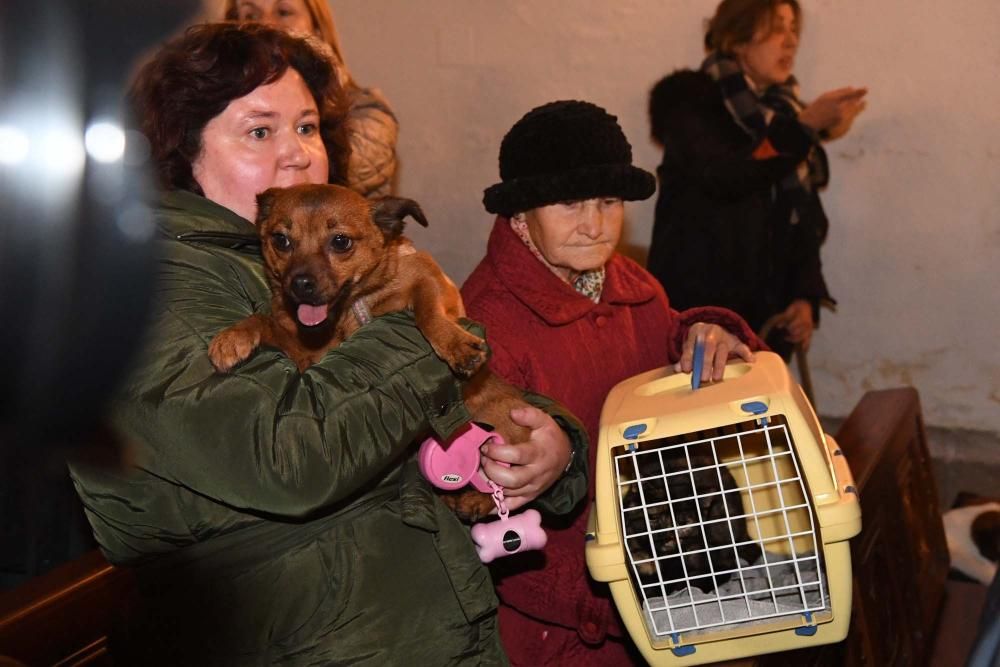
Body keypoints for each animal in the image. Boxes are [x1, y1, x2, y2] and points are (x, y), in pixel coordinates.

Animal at [211, 184, 532, 520]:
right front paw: (233, 336)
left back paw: (475, 501)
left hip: (501, 431)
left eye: (341, 241)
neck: (350, 309)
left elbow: (427, 312)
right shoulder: (307, 357)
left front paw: (455, 345)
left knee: (504, 482)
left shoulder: (430, 280)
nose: (300, 284)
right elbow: (264, 320)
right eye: (281, 240)